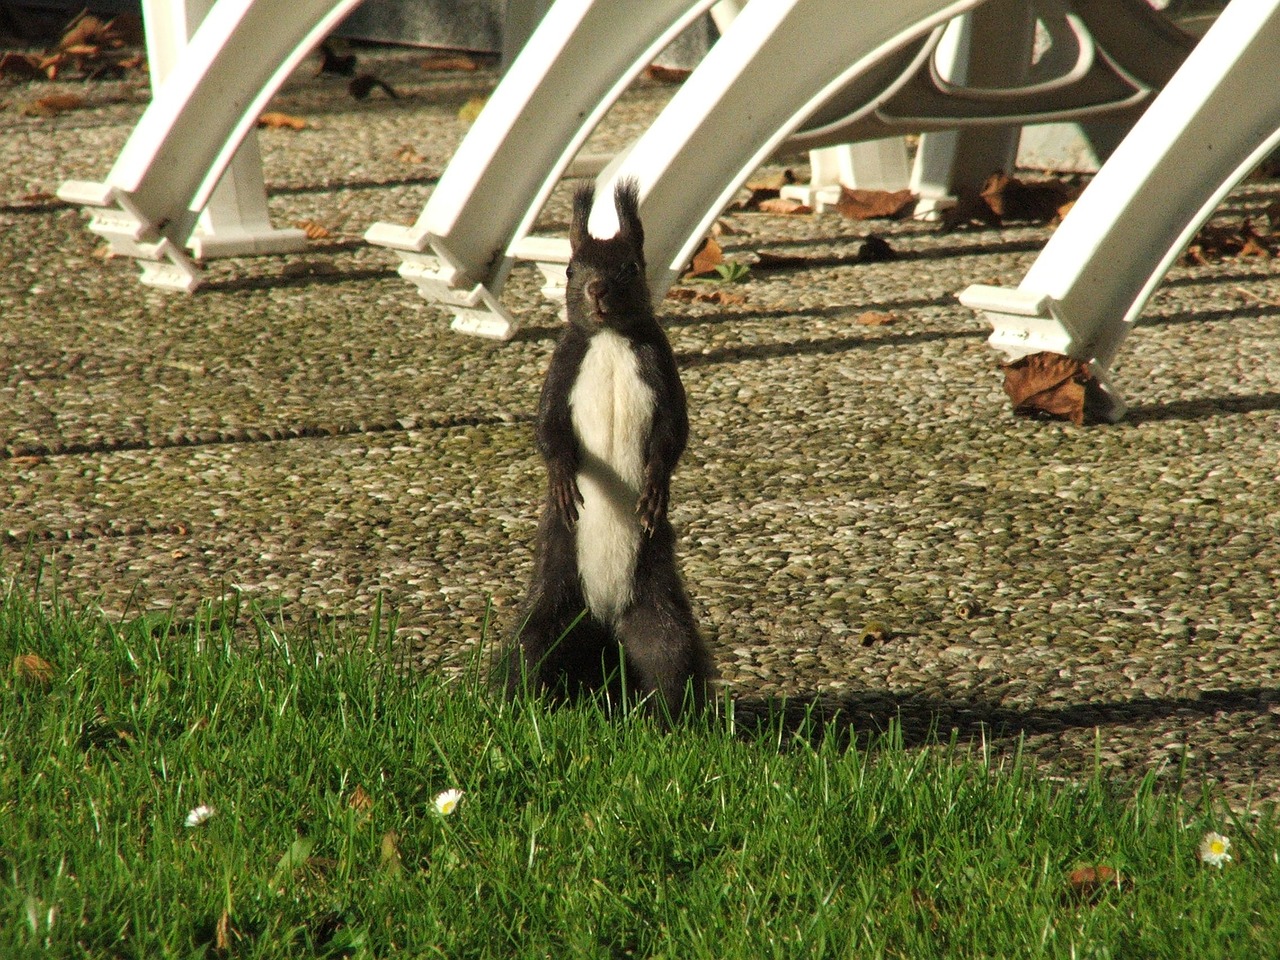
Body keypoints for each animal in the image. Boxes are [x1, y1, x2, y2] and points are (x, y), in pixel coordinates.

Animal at [499, 179, 716, 721]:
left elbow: (674, 434)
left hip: (658, 615)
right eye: (571, 270)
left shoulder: (662, 369)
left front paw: (655, 489)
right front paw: (562, 480)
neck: (611, 340)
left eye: (632, 268)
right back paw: (521, 708)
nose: (596, 290)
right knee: (528, 657)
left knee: (670, 664)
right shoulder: (563, 368)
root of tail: (602, 617)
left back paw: (670, 724)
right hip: (550, 607)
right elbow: (548, 430)